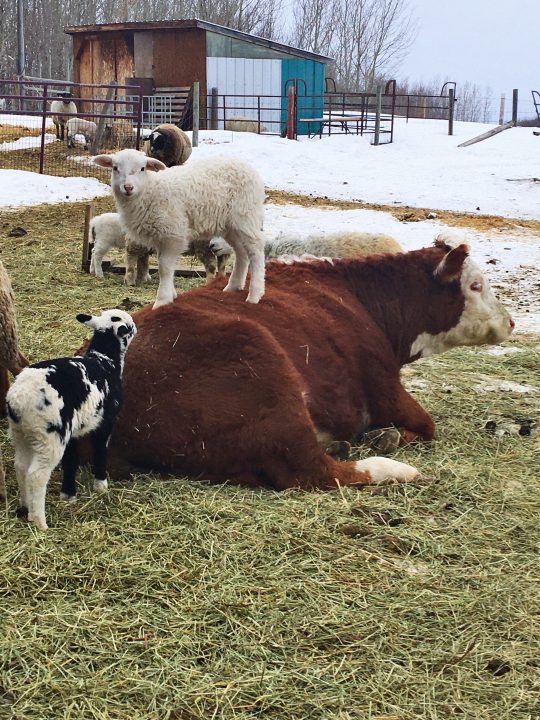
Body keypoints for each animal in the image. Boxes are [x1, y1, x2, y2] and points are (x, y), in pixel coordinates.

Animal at [6, 309, 137, 530]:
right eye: (129, 326)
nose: (136, 327)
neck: (105, 360)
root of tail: (18, 398)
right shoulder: (105, 422)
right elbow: (100, 452)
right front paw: (101, 485)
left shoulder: (73, 431)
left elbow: (71, 460)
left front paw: (68, 495)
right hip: (49, 436)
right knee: (36, 475)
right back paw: (40, 521)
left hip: (21, 433)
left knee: (21, 467)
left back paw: (25, 506)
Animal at [93, 149, 266, 307]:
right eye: (115, 168)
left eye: (142, 168)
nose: (128, 187)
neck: (150, 191)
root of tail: (246, 166)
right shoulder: (160, 236)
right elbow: (165, 267)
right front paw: (172, 295)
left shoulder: (172, 234)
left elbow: (164, 268)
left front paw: (162, 300)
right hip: (231, 226)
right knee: (241, 252)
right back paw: (233, 286)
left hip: (245, 216)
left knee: (255, 250)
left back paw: (255, 294)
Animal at [100, 236, 514, 491]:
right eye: (476, 285)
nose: (510, 322)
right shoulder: (384, 385)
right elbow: (427, 425)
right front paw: (390, 436)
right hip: (264, 366)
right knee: (316, 472)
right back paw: (393, 468)